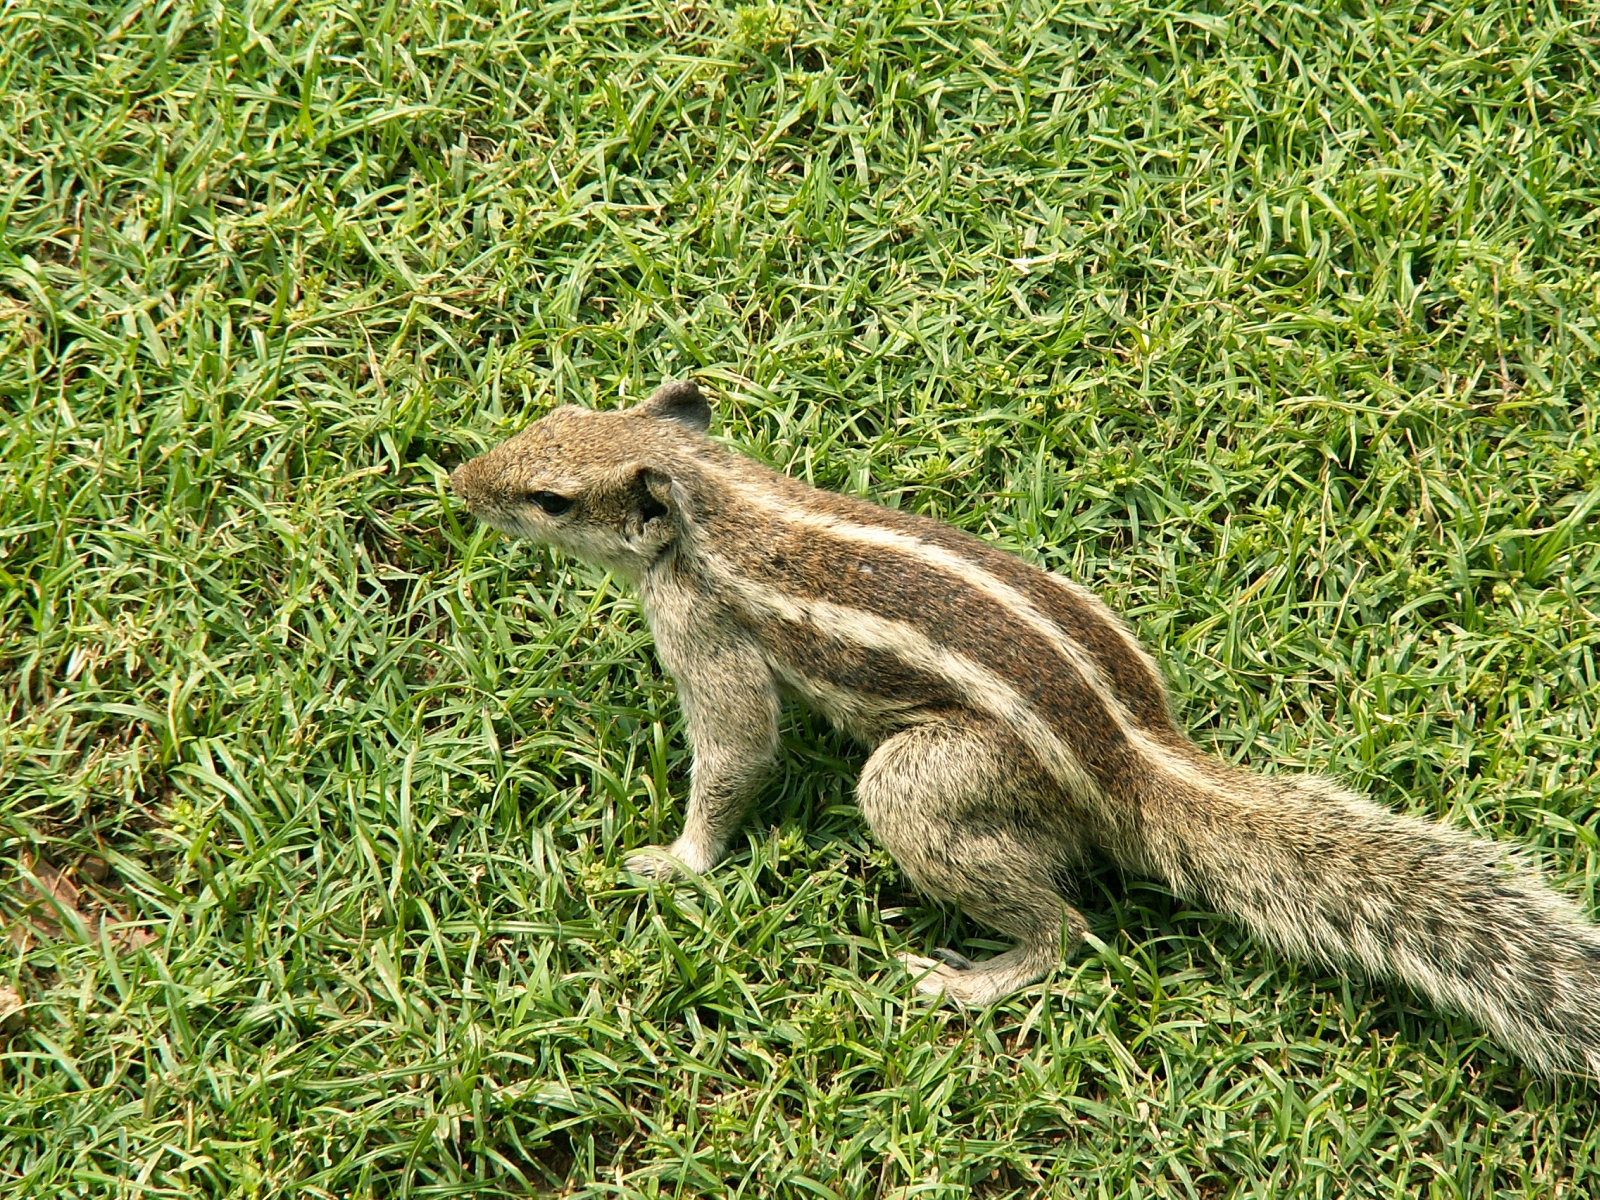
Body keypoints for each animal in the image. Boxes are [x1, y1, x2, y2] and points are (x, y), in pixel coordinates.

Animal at [450, 380, 1600, 1077]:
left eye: (551, 498)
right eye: (549, 414)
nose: (459, 484)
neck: (717, 493)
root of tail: (1133, 763)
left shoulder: (700, 624)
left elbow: (735, 752)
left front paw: (678, 861)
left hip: (930, 786)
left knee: (1066, 925)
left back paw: (977, 978)